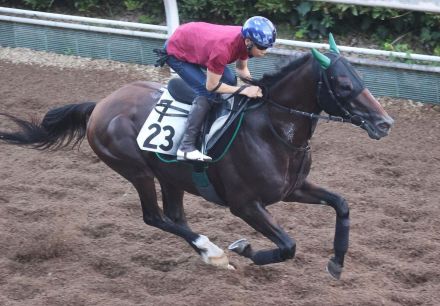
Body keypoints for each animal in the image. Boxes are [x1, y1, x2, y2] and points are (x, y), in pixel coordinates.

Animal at [0, 36, 392, 280]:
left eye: (362, 77)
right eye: (344, 84)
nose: (385, 123)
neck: (273, 130)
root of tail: (100, 105)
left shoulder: (293, 188)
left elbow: (341, 205)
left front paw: (336, 263)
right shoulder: (245, 205)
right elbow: (288, 246)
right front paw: (242, 247)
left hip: (170, 175)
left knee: (174, 215)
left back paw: (207, 253)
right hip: (136, 170)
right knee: (154, 217)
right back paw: (213, 251)